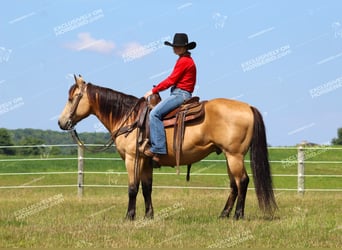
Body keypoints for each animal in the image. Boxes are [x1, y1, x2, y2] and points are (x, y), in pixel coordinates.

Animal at [59, 75, 278, 220]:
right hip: (229, 155)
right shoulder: (146, 161)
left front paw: (129, 216)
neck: (129, 118)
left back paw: (238, 215)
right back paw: (223, 214)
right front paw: (148, 216)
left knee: (243, 181)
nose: (61, 123)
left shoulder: (133, 158)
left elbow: (132, 188)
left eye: (71, 98)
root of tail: (248, 107)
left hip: (234, 155)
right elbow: (147, 188)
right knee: (234, 184)